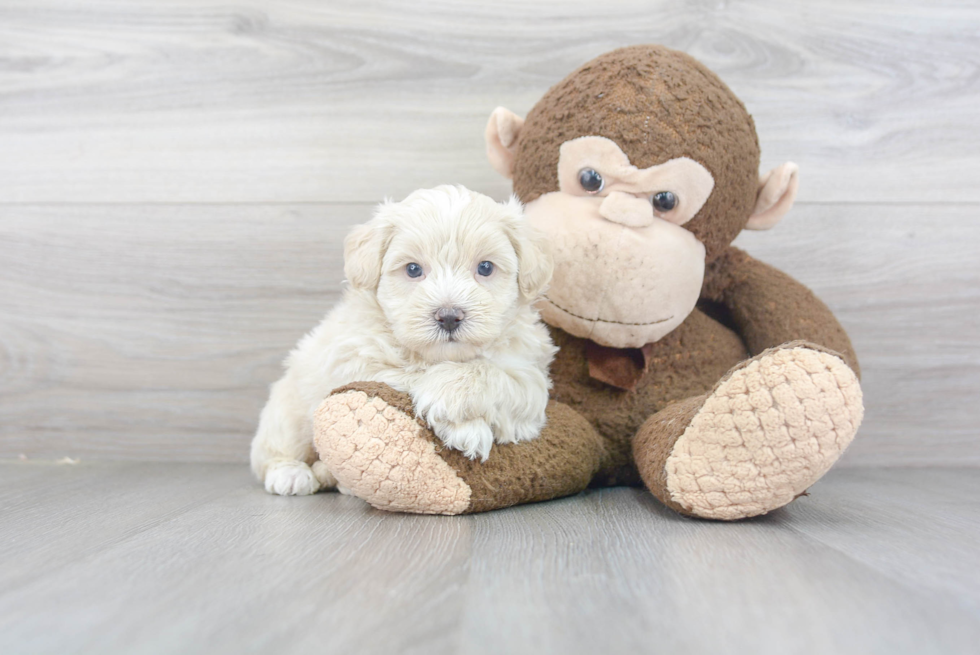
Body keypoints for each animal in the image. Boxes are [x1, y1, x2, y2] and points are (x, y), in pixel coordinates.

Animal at [251, 184, 560, 498]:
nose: (449, 316)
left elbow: (507, 378)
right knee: (271, 451)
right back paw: (292, 474)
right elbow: (406, 374)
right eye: (413, 269)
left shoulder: (529, 370)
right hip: (288, 410)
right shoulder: (355, 359)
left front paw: (452, 396)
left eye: (485, 267)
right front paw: (465, 428)